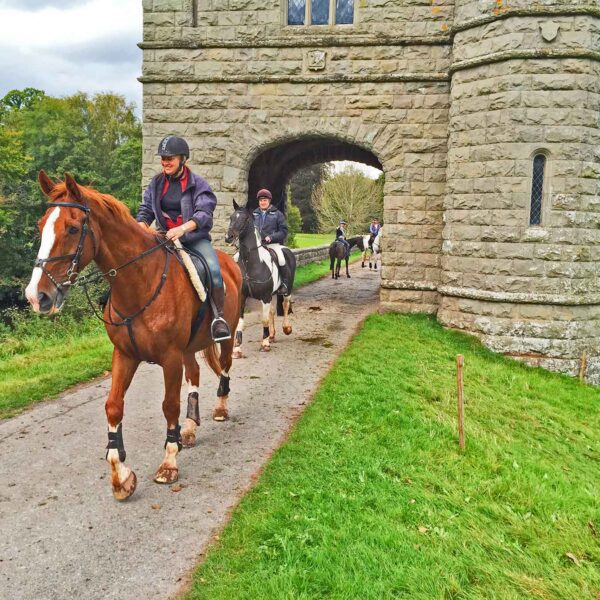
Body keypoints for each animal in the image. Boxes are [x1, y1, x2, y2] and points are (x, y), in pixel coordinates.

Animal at [25, 172, 241, 502]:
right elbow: (113, 406)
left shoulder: (169, 358)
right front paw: (121, 476)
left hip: (224, 339)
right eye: (41, 226)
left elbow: (169, 406)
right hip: (188, 349)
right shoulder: (125, 355)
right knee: (194, 374)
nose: (37, 297)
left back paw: (219, 409)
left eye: (72, 228)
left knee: (225, 368)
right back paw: (190, 428)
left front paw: (169, 462)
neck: (140, 280)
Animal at [225, 202, 296, 354]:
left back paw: (286, 328)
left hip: (287, 290)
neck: (250, 262)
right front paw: (237, 348)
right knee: (272, 311)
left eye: (245, 219)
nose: (228, 237)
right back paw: (272, 335)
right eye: (231, 217)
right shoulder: (243, 296)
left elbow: (264, 320)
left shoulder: (265, 296)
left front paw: (265, 344)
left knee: (285, 305)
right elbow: (240, 320)